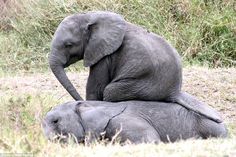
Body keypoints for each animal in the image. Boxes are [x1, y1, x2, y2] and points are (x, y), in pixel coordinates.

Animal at [49, 11, 221, 123]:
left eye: (69, 45)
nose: (79, 102)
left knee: (110, 91)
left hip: (142, 85)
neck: (89, 16)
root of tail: (175, 92)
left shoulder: (104, 55)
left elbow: (96, 89)